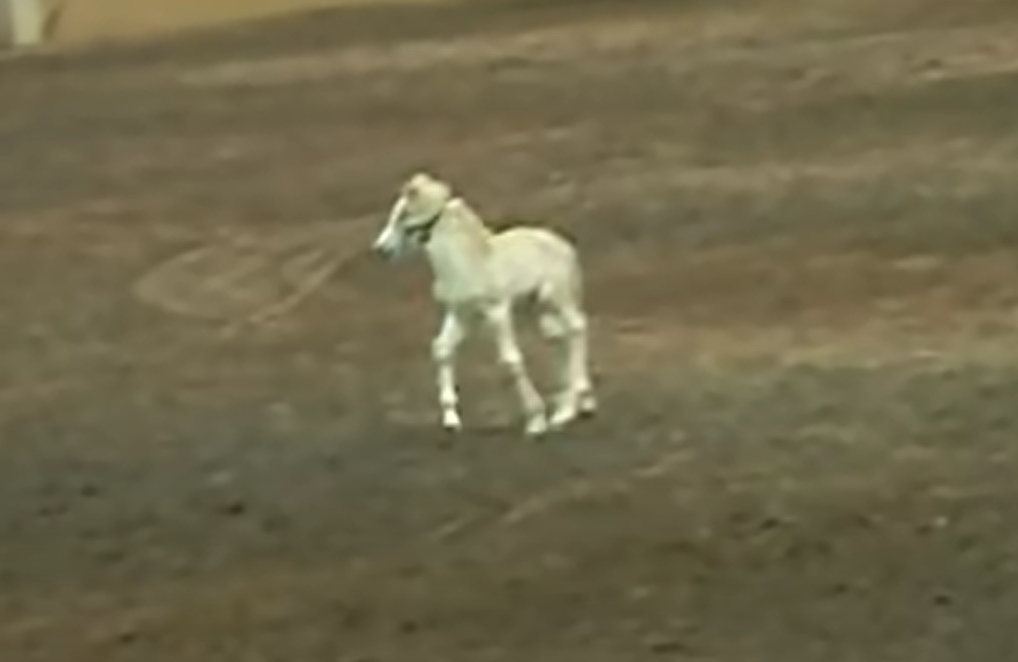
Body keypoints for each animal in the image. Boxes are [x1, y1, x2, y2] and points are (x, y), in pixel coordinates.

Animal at [372, 172, 596, 437]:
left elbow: (510, 361)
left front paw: (536, 421)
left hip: (556, 299)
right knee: (560, 338)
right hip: (537, 308)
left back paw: (569, 408)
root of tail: (565, 246)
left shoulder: (497, 312)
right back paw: (576, 405)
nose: (381, 249)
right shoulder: (461, 314)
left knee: (577, 328)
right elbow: (442, 349)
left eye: (403, 215)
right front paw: (451, 420)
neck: (470, 261)